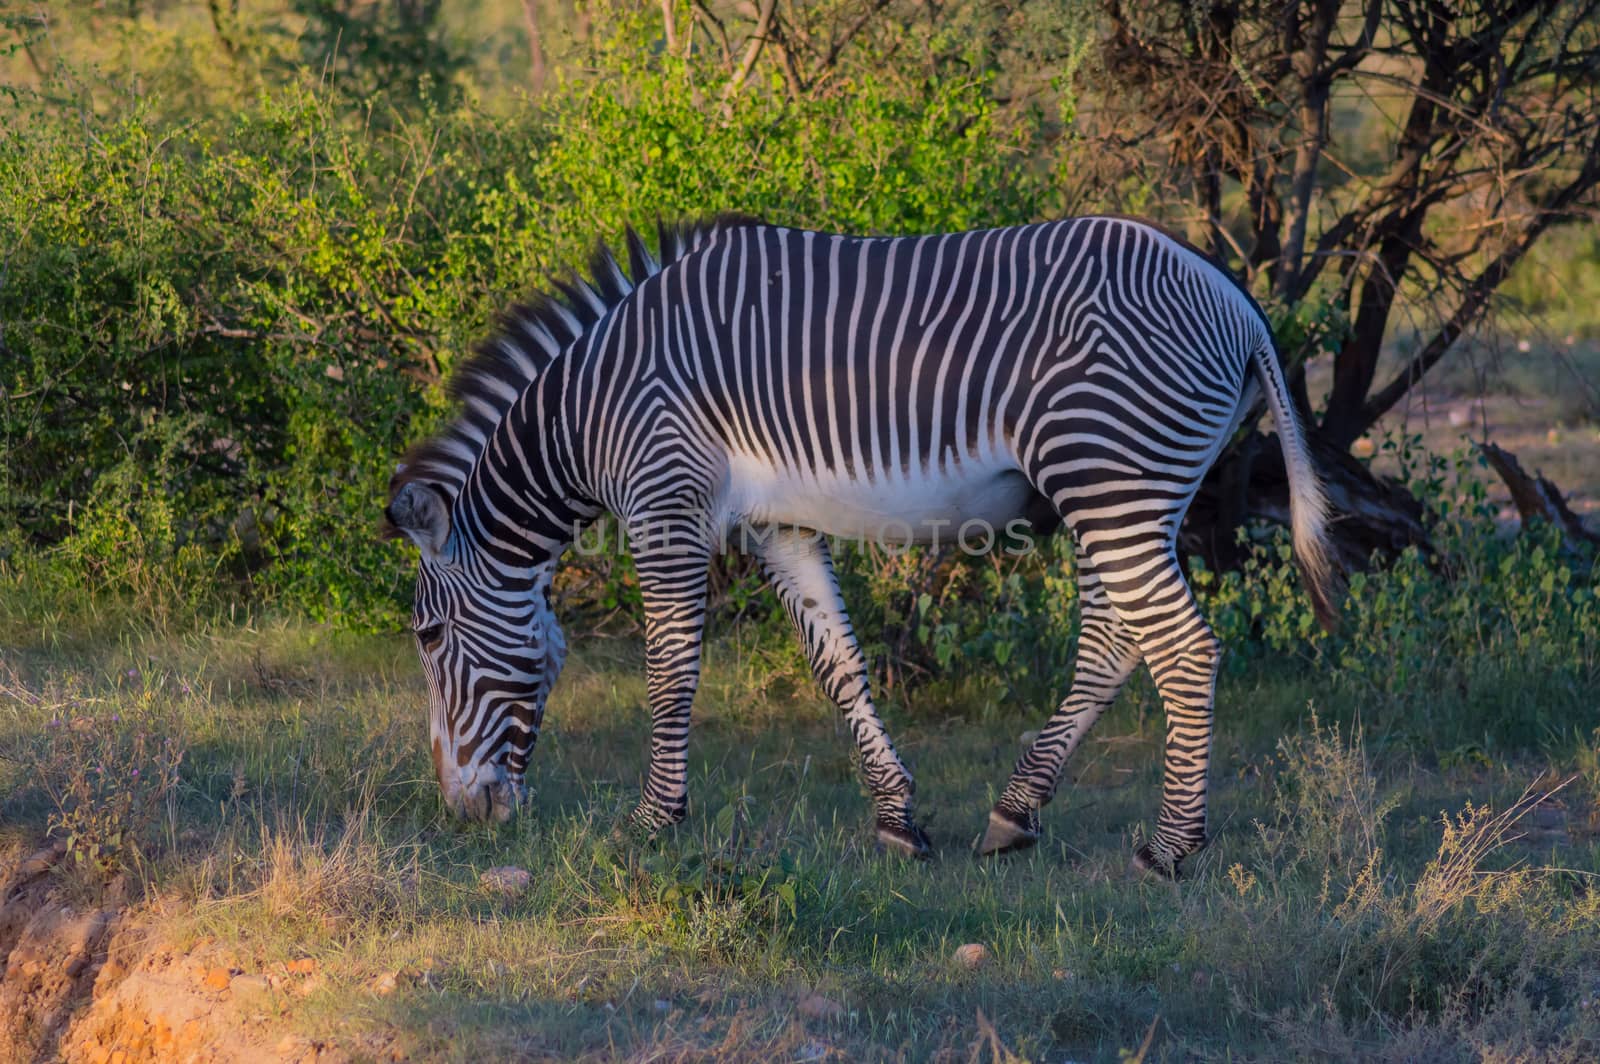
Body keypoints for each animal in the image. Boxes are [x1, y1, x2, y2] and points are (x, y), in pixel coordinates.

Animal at [387, 211, 1337, 876]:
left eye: (429, 637)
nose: (462, 815)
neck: (590, 412)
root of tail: (1235, 300)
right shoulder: (780, 522)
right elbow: (837, 662)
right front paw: (896, 820)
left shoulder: (665, 502)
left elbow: (669, 675)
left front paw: (652, 823)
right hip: (1123, 491)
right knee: (1114, 642)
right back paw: (1016, 812)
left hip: (1107, 477)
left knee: (1182, 649)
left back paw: (1170, 848)